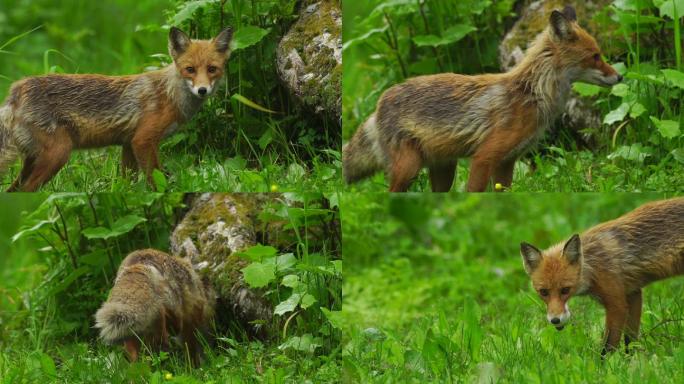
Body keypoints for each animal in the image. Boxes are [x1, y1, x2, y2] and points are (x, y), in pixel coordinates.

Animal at [0, 26, 232, 191]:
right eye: (190, 70)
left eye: (212, 69)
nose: (202, 90)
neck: (169, 94)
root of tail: (15, 91)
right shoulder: (143, 141)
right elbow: (157, 181)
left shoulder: (128, 144)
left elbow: (127, 184)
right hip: (58, 155)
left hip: (33, 161)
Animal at [344, 5, 624, 191]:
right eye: (595, 56)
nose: (620, 76)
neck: (531, 95)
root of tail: (378, 105)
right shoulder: (485, 156)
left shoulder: (507, 162)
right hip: (410, 168)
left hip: (444, 169)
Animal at [520, 198, 680, 354]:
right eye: (543, 292)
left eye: (565, 290)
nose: (555, 320)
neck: (593, 266)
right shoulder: (633, 293)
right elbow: (630, 340)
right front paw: (633, 360)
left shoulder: (617, 305)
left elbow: (608, 346)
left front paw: (606, 362)